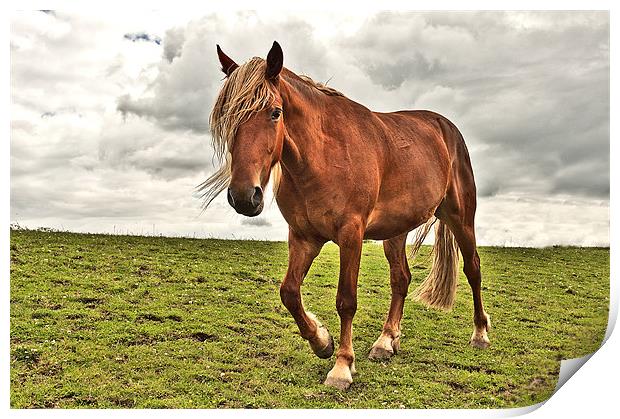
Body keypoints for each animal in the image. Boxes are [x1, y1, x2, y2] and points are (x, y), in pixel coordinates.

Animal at [201, 41, 492, 390]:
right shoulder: (303, 237)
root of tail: (446, 128)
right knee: (401, 279)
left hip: (461, 218)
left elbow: (346, 301)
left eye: (275, 112)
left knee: (473, 269)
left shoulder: (351, 235)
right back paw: (386, 341)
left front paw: (342, 366)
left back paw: (480, 334)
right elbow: (289, 293)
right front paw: (321, 341)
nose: (245, 196)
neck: (322, 156)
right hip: (396, 231)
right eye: (227, 117)